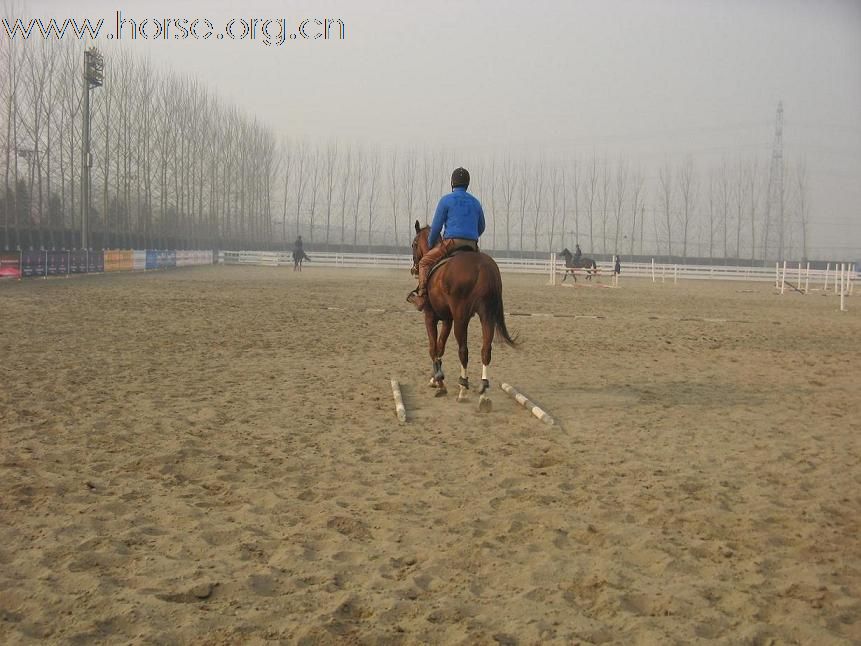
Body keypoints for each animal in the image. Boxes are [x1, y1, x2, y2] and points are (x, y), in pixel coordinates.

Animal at [406, 223, 512, 412]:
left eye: (414, 243)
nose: (414, 269)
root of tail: (482, 268)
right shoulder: (448, 320)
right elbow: (440, 347)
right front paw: (435, 378)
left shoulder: (431, 317)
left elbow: (433, 348)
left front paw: (439, 383)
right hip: (487, 316)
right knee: (486, 350)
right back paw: (483, 393)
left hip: (461, 318)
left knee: (463, 351)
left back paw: (463, 389)